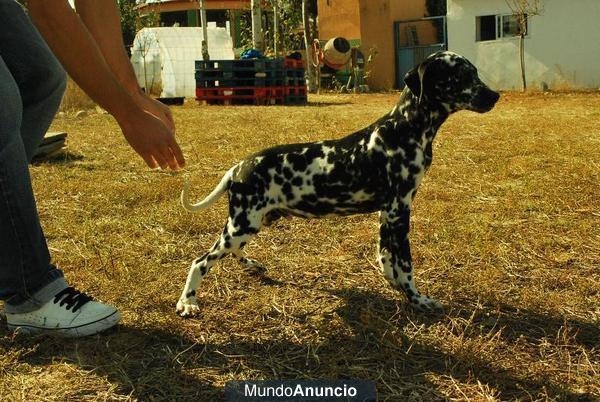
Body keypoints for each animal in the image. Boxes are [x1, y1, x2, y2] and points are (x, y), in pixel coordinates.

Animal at [176, 51, 500, 318]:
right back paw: (187, 302)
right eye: (460, 76)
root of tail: (238, 168)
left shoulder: (387, 214)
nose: (495, 95)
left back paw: (251, 265)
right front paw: (417, 299)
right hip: (243, 225)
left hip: (249, 224)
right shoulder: (400, 211)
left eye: (475, 72)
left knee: (232, 252)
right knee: (200, 261)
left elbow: (386, 256)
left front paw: (393, 283)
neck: (404, 128)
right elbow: (406, 265)